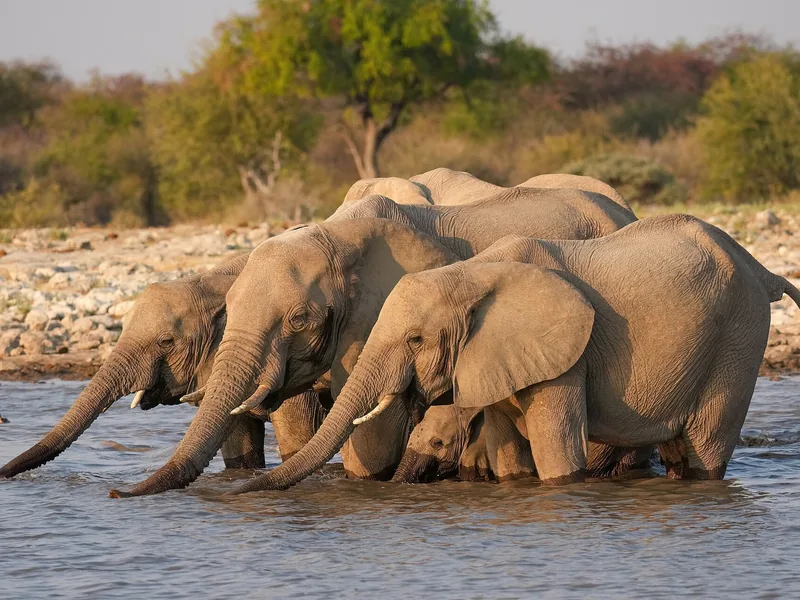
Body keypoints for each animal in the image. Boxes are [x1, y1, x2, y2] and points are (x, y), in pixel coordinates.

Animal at [230, 214, 800, 493]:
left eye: (416, 340)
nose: (237, 493)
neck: (469, 275)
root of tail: (762, 267)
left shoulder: (567, 353)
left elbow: (556, 451)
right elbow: (508, 454)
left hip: (739, 338)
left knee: (705, 447)